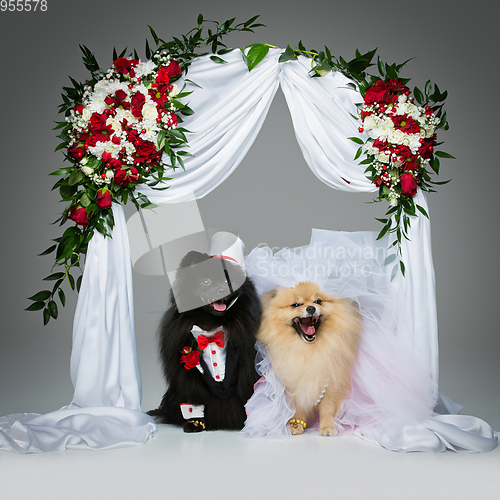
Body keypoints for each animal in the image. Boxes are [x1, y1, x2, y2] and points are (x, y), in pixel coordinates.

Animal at [148, 236, 262, 432]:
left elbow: (247, 393)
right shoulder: (188, 374)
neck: (212, 326)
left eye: (229, 282)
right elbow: (194, 400)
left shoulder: (246, 364)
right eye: (206, 282)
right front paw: (195, 422)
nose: (221, 290)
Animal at [256, 284, 362, 436]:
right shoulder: (294, 382)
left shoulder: (332, 379)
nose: (311, 308)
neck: (308, 349)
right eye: (296, 304)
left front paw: (327, 427)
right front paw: (296, 425)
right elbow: (297, 406)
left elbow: (327, 407)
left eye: (318, 301)